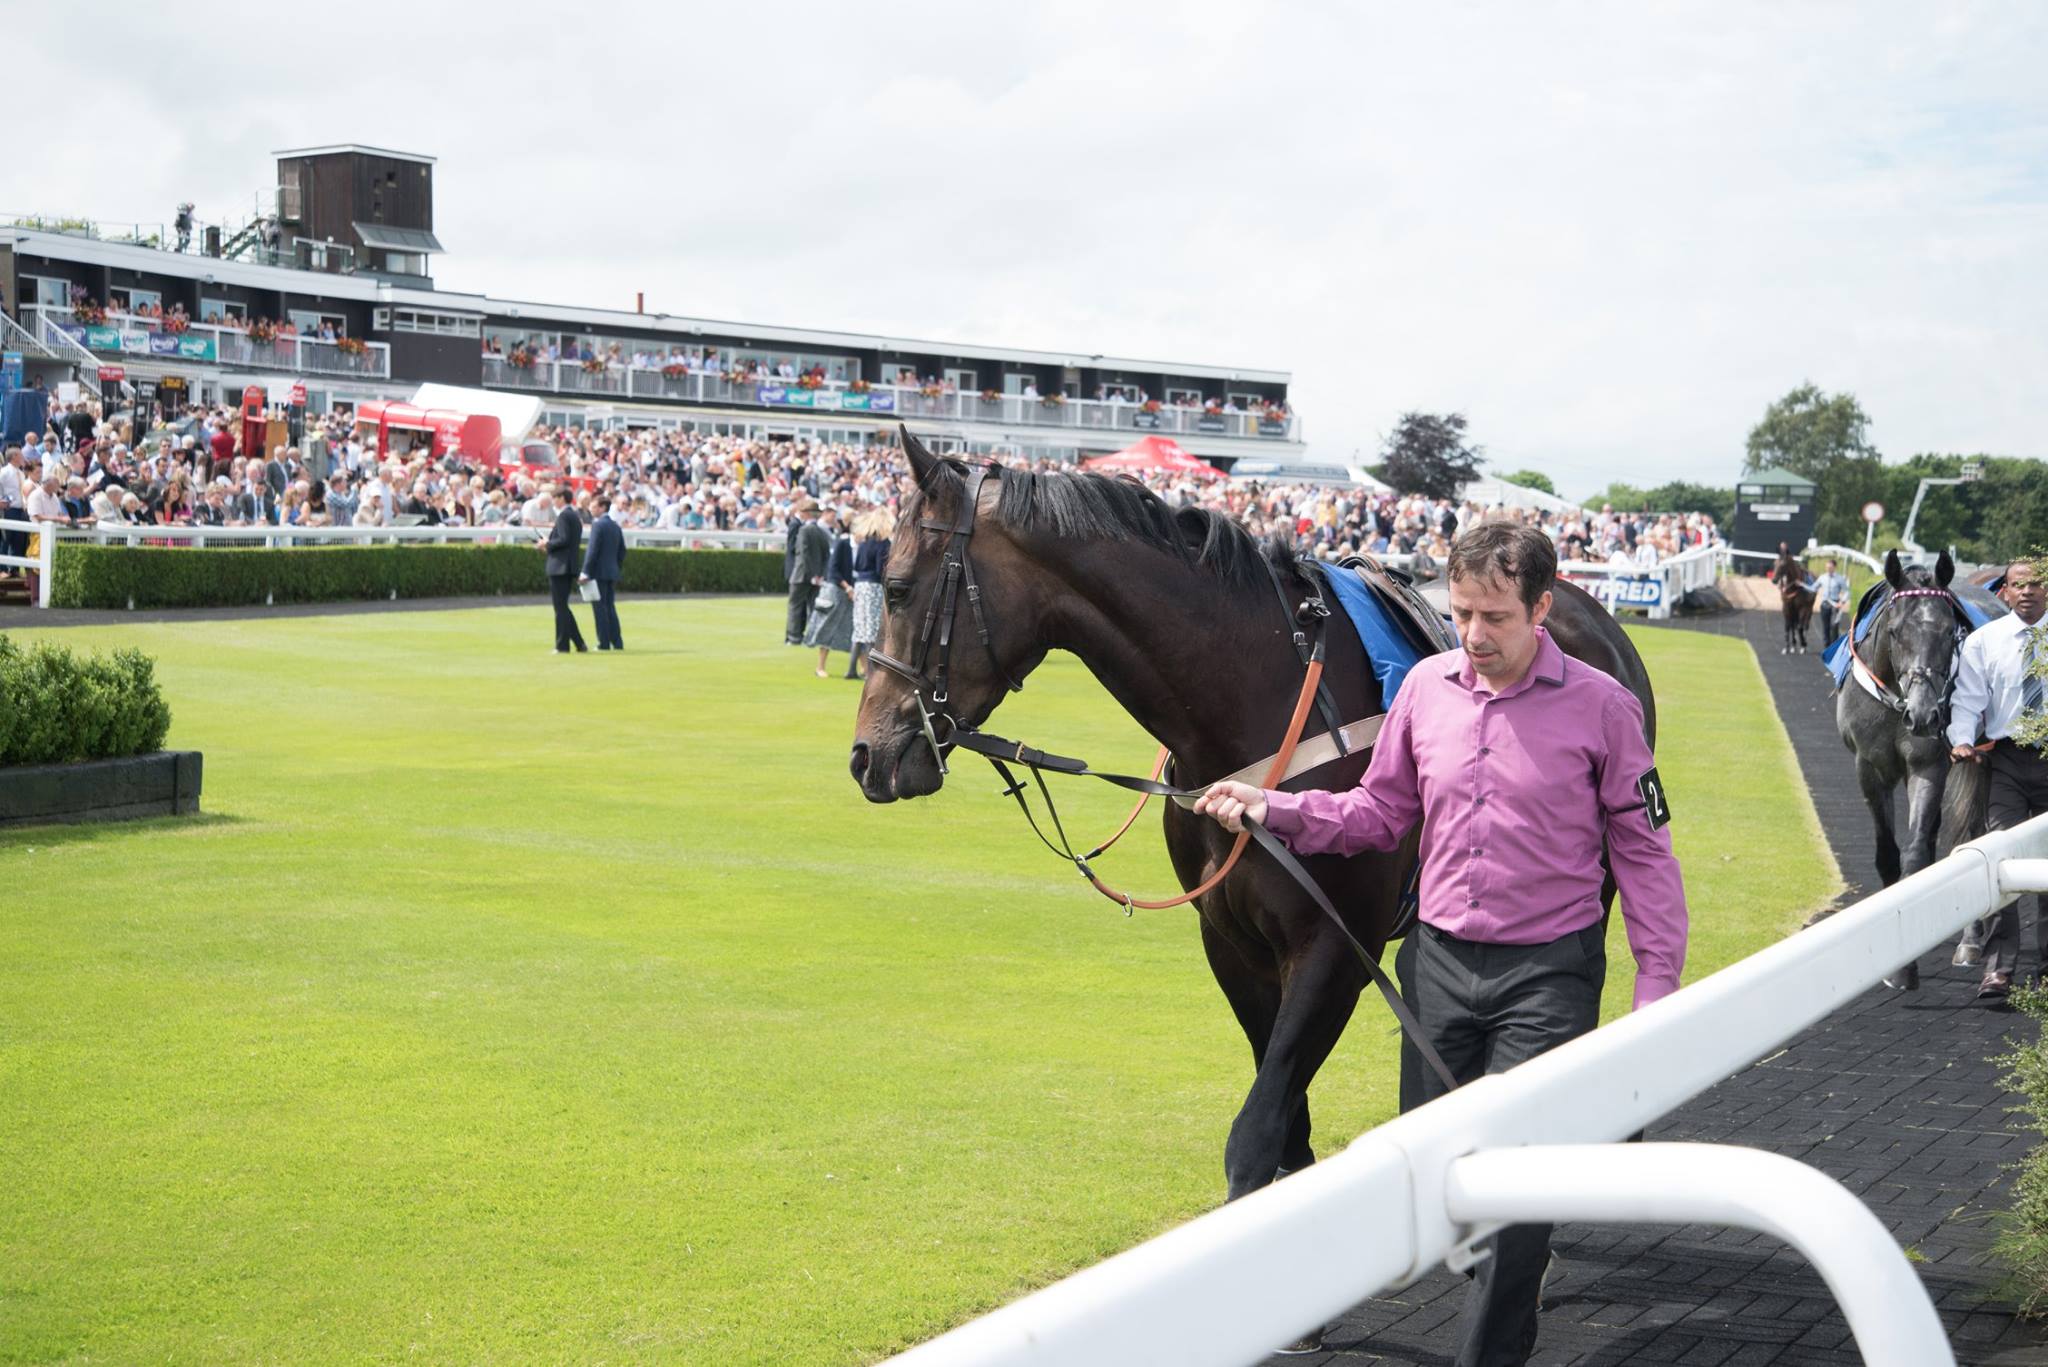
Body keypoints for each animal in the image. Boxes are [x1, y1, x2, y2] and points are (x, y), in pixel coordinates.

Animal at [847, 438, 1662, 1196]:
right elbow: (1288, 1135)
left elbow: (1260, 1129)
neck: (1252, 708)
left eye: (896, 587)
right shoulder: (1230, 940)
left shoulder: (1334, 945)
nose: (866, 754)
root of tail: (1591, 611)